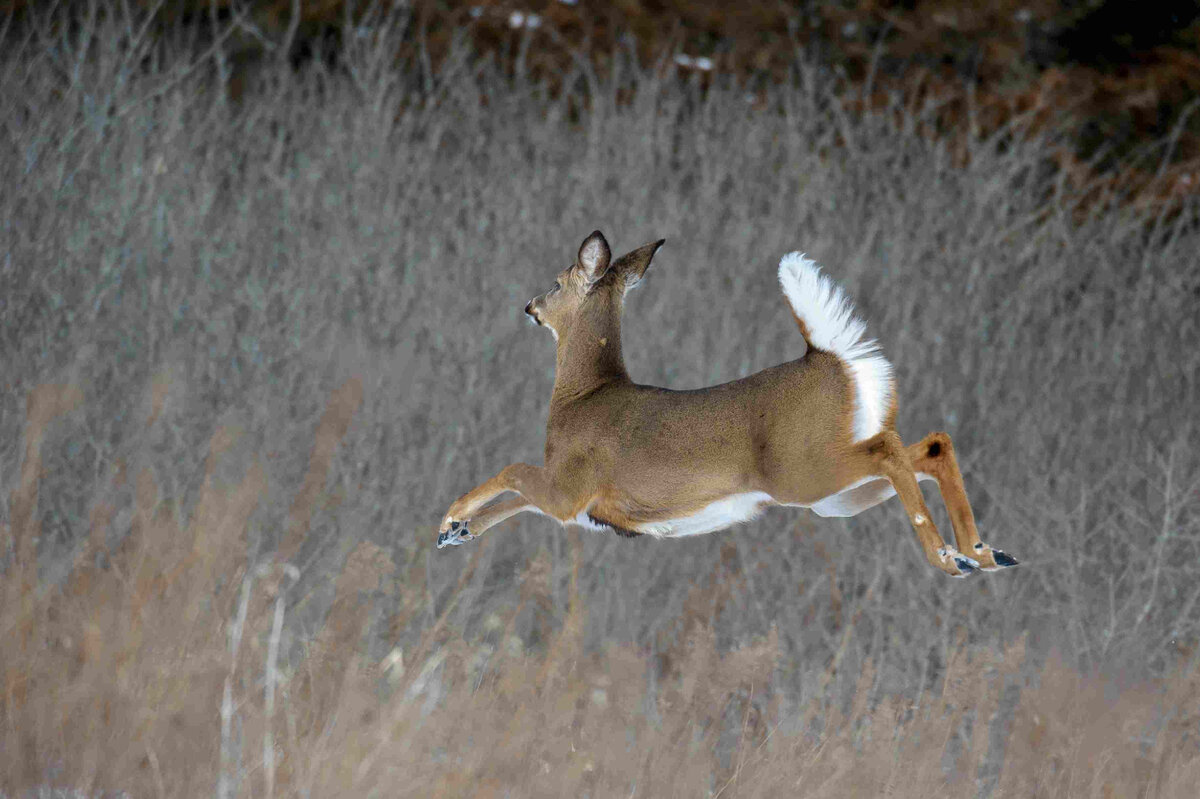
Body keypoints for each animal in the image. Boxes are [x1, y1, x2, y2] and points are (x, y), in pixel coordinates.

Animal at [436, 226, 1017, 575]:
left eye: (558, 281)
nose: (529, 305)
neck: (583, 395)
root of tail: (827, 356)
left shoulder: (569, 484)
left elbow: (513, 473)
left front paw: (450, 519)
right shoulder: (568, 500)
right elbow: (515, 500)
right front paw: (459, 533)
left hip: (804, 469)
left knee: (896, 451)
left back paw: (948, 557)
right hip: (835, 494)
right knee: (928, 446)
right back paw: (985, 553)